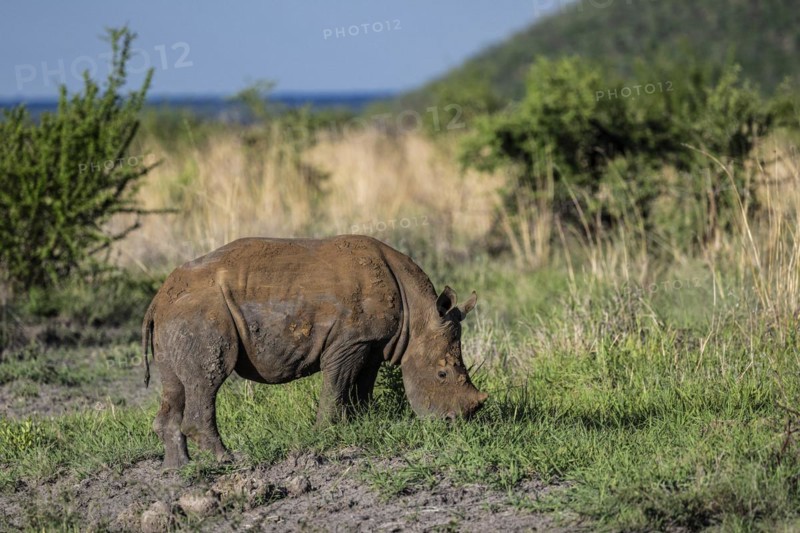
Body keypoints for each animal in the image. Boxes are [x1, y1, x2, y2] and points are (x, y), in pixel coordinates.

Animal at [142, 235, 487, 468]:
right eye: (441, 374)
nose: (454, 422)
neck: (417, 314)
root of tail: (157, 301)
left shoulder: (372, 343)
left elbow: (362, 386)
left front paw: (360, 424)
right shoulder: (349, 342)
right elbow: (336, 385)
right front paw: (324, 434)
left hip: (178, 312)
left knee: (175, 384)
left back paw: (179, 468)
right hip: (200, 311)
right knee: (208, 380)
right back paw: (227, 459)